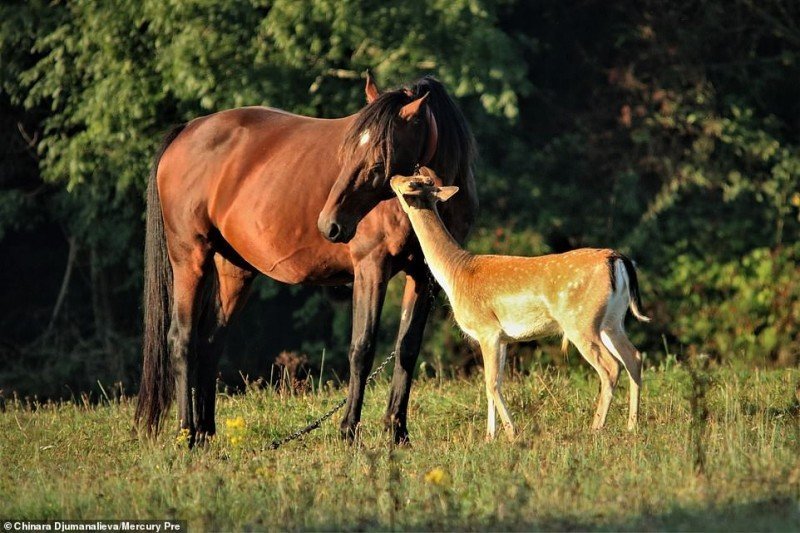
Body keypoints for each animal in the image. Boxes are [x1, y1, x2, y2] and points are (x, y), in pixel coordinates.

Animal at [134, 75, 478, 446]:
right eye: (347, 151)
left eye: (379, 157)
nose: (330, 225)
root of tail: (188, 130)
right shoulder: (371, 267)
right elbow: (362, 347)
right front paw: (348, 431)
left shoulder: (424, 275)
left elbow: (407, 349)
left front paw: (397, 433)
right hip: (190, 259)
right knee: (182, 340)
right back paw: (186, 434)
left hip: (234, 271)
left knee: (210, 342)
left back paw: (206, 433)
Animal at [392, 168, 648, 438]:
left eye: (411, 183)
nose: (393, 178)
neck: (456, 274)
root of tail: (617, 259)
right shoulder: (503, 338)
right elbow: (493, 383)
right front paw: (490, 436)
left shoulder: (487, 330)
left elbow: (491, 383)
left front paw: (511, 432)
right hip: (612, 321)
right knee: (634, 357)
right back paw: (632, 426)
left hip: (581, 322)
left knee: (610, 367)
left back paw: (595, 428)